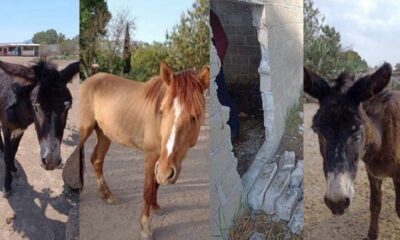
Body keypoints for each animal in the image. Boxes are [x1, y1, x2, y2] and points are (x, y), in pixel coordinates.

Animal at [78, 62, 209, 238]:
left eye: (194, 116)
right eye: (162, 111)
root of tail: (89, 81)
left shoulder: (162, 161)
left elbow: (156, 183)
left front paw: (156, 206)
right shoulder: (152, 156)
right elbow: (148, 188)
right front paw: (145, 227)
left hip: (104, 134)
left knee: (96, 160)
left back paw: (107, 195)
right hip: (85, 130)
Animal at [304, 62, 398, 239]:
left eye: (358, 130)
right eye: (316, 130)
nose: (337, 203)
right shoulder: (373, 173)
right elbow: (375, 204)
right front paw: (372, 235)